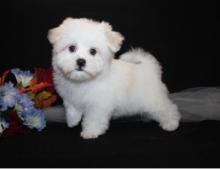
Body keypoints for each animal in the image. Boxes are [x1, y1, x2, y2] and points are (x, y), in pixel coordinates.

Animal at [48, 17, 180, 139]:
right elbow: (72, 108)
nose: (81, 61)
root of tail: (149, 68)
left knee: (167, 109)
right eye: (71, 48)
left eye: (93, 51)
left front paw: (90, 132)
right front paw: (72, 121)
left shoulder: (98, 105)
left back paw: (171, 123)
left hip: (154, 99)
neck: (83, 80)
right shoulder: (70, 97)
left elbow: (93, 119)